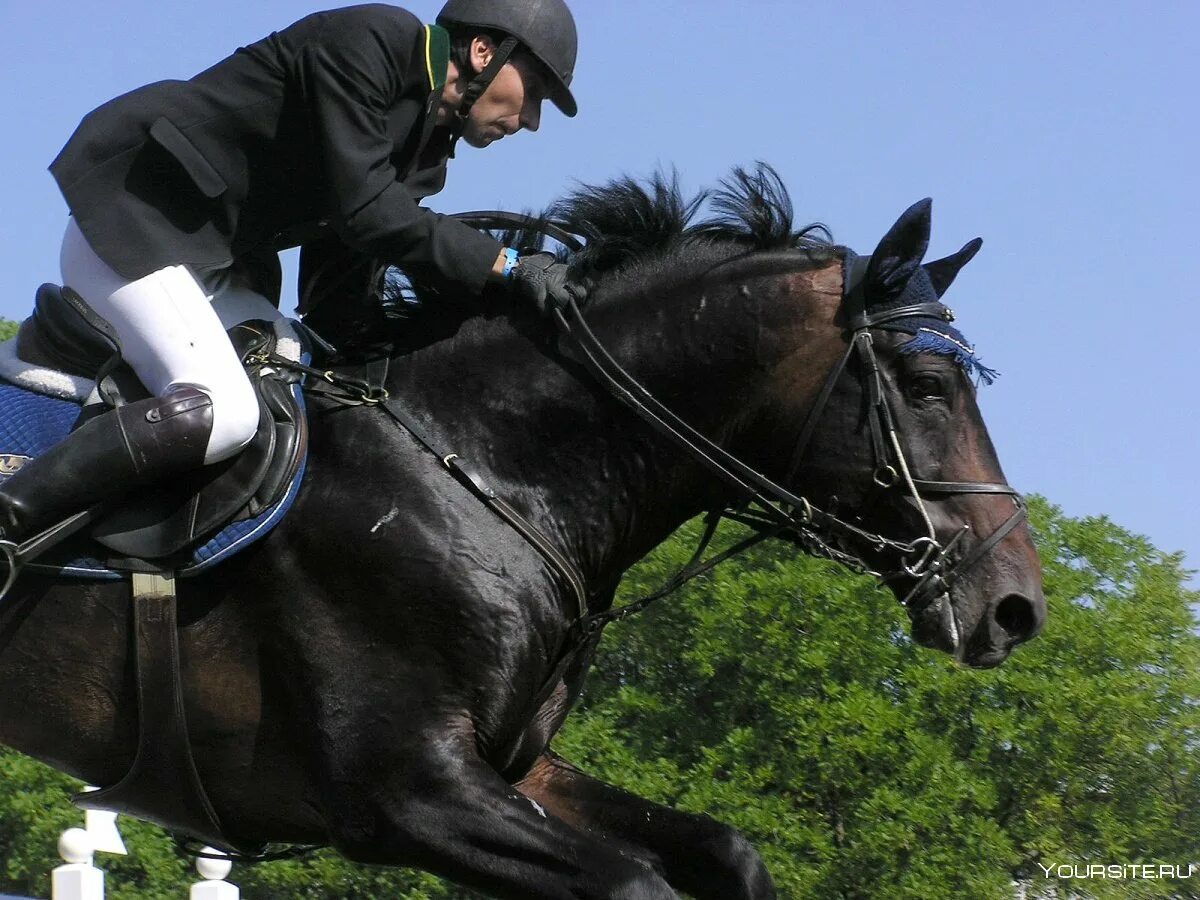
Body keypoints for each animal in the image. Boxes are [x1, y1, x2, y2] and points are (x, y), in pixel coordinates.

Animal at [0, 165, 1041, 897]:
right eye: (928, 386)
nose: (1015, 607)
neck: (488, 465)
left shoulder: (519, 770)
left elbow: (728, 849)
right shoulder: (410, 793)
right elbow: (635, 884)